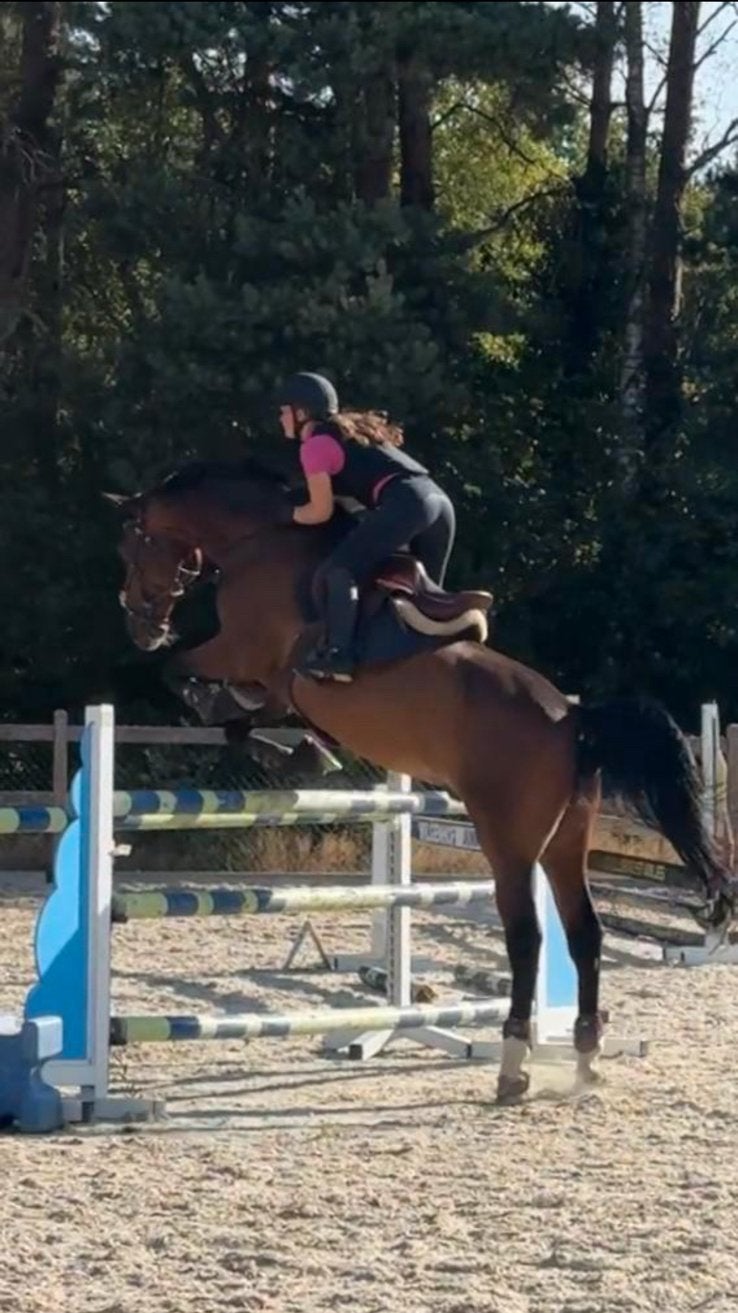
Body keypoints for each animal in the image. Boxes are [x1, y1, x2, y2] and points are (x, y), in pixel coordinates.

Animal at [105, 458, 735, 1103]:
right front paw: (305, 752)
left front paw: (277, 742)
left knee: (528, 937)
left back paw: (514, 1063)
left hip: (509, 842)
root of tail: (573, 719)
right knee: (584, 933)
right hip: (565, 841)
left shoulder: (243, 654)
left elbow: (186, 679)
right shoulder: (275, 684)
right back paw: (583, 1057)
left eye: (132, 546)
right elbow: (246, 718)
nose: (139, 626)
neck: (261, 539)